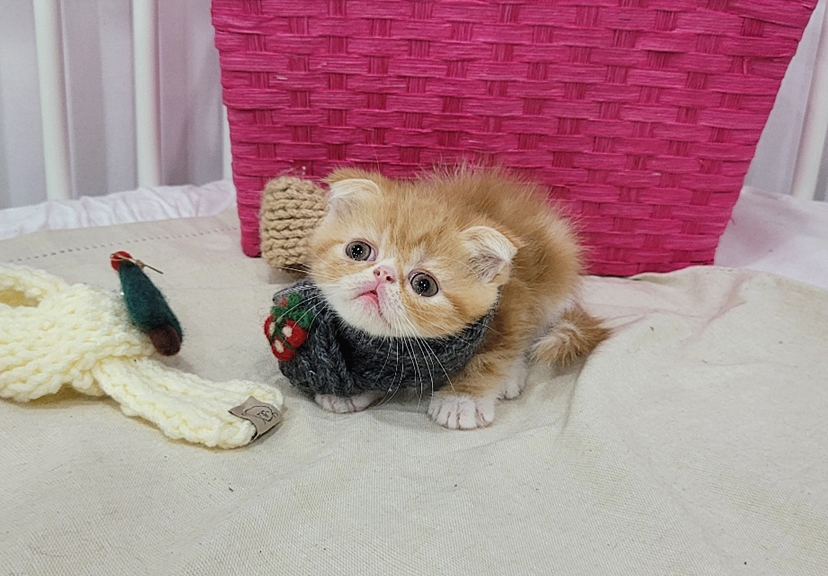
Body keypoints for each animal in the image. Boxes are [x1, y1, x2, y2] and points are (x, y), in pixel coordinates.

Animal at [304, 166, 608, 429]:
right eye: (358, 250)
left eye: (424, 284)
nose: (383, 274)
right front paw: (348, 390)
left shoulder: (512, 304)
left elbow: (496, 353)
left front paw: (463, 399)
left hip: (554, 281)